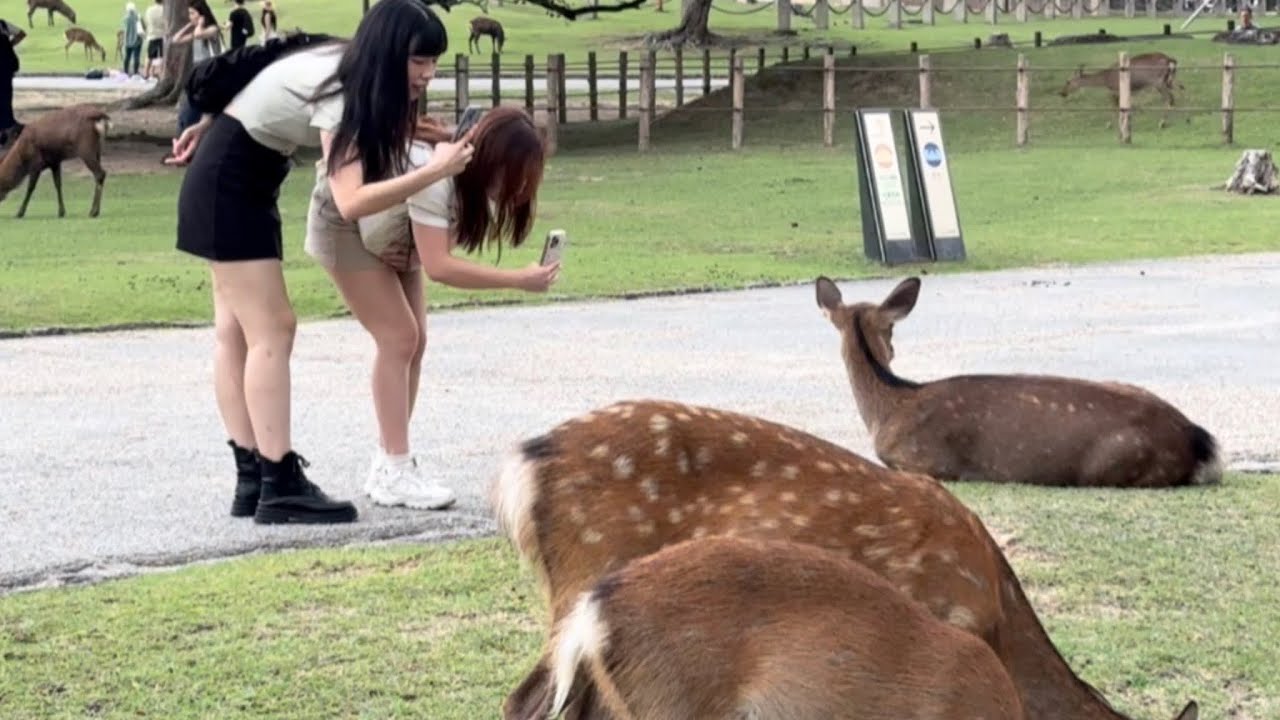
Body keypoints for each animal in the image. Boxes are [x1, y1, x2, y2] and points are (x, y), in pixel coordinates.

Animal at [814, 276, 1222, 489]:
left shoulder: (922, 463)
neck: (889, 407)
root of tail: (1195, 436)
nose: (894, 349)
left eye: (893, 328)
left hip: (1117, 464)